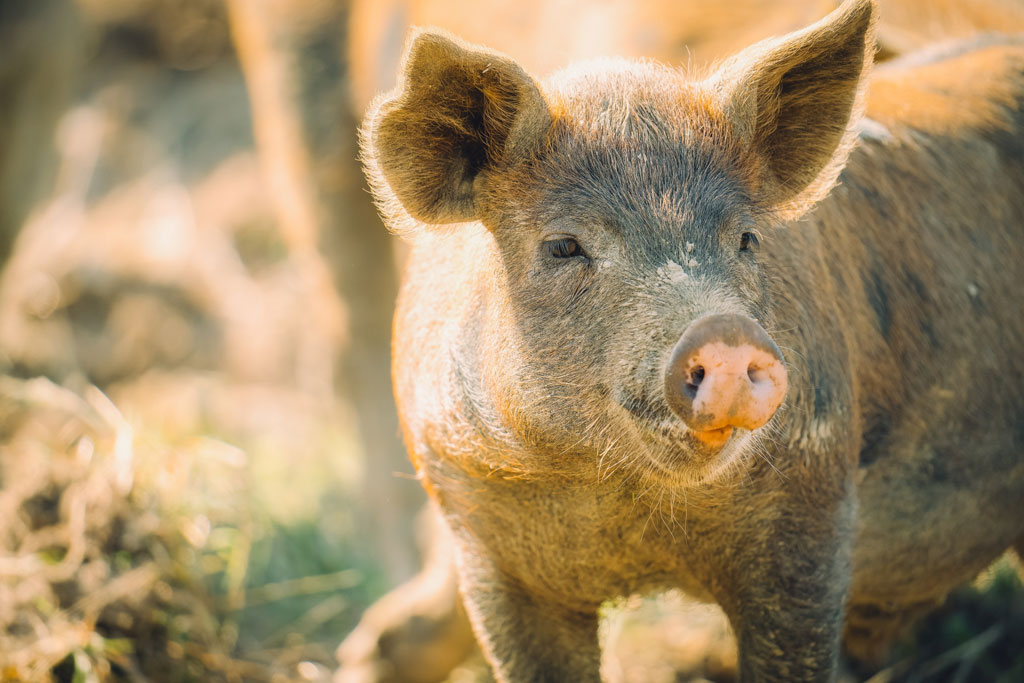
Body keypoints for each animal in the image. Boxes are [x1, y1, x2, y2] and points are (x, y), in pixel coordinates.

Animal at [356, 1, 1024, 679]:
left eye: (747, 239)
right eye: (564, 245)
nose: (723, 330)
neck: (618, 496)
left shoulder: (814, 507)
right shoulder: (481, 540)